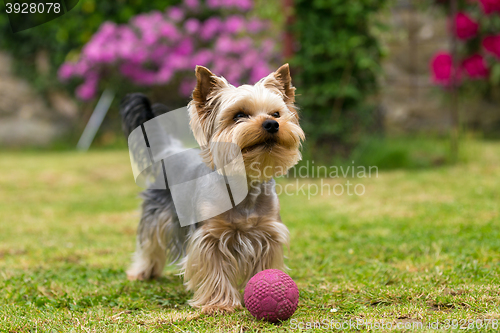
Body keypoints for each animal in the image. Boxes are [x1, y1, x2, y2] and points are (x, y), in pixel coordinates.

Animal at [120, 63, 304, 312]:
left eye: (276, 114)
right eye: (239, 115)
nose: (272, 124)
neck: (245, 183)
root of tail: (168, 150)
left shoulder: (267, 233)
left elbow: (263, 264)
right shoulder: (209, 237)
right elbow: (214, 269)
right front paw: (219, 304)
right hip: (156, 212)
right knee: (149, 242)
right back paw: (142, 272)